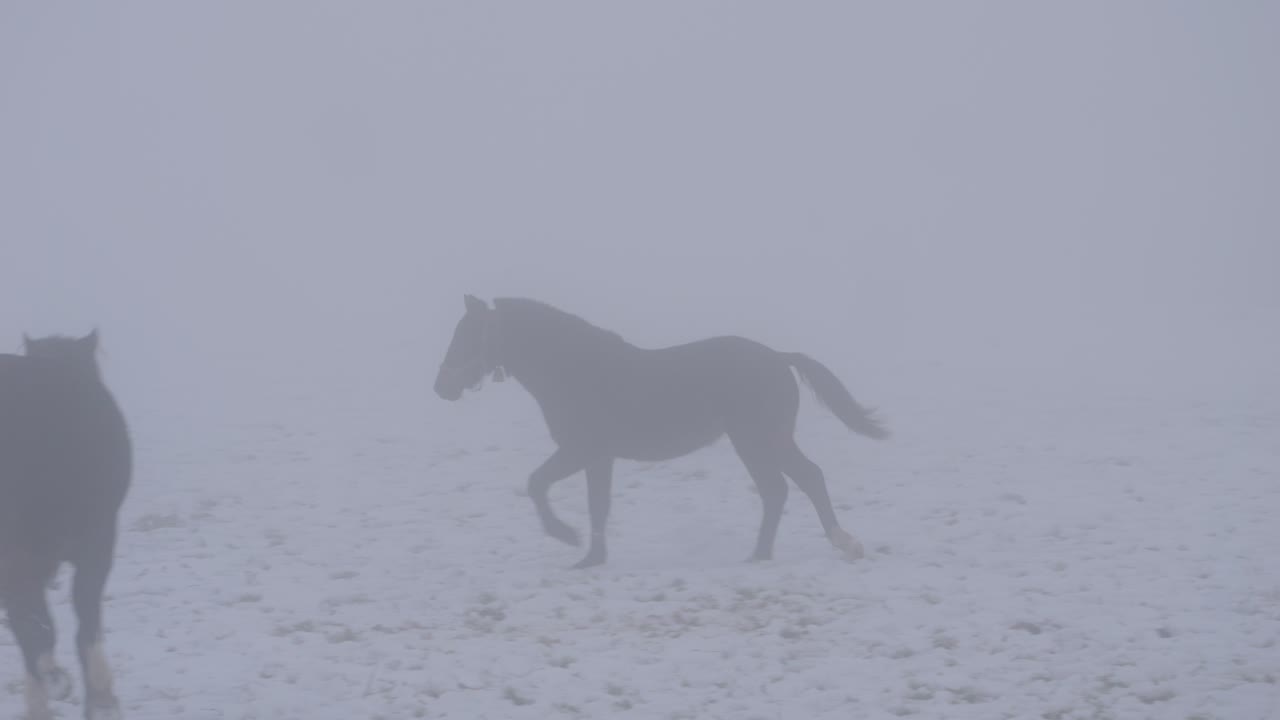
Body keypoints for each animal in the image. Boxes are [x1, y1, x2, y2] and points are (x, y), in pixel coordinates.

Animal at [434, 295, 888, 568]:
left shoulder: (582, 450)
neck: (575, 371)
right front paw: (592, 558)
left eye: (468, 335)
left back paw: (813, 547)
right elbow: (598, 505)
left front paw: (566, 537)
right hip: (761, 441)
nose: (441, 387)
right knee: (790, 485)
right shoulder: (599, 457)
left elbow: (537, 484)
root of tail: (779, 357)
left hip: (758, 439)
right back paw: (770, 553)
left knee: (793, 483)